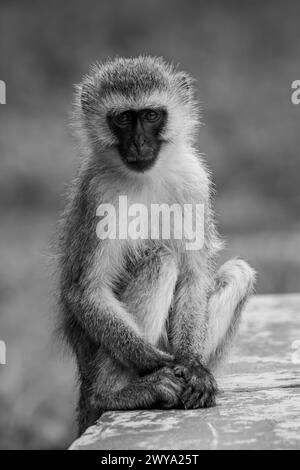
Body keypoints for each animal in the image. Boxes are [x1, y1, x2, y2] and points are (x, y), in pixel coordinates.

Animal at [58, 57, 255, 436]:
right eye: (123, 118)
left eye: (151, 115)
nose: (138, 144)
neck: (145, 177)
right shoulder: (98, 192)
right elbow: (85, 290)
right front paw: (156, 361)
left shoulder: (195, 181)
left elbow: (194, 276)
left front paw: (192, 364)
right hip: (94, 361)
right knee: (160, 260)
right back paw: (116, 394)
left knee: (237, 272)